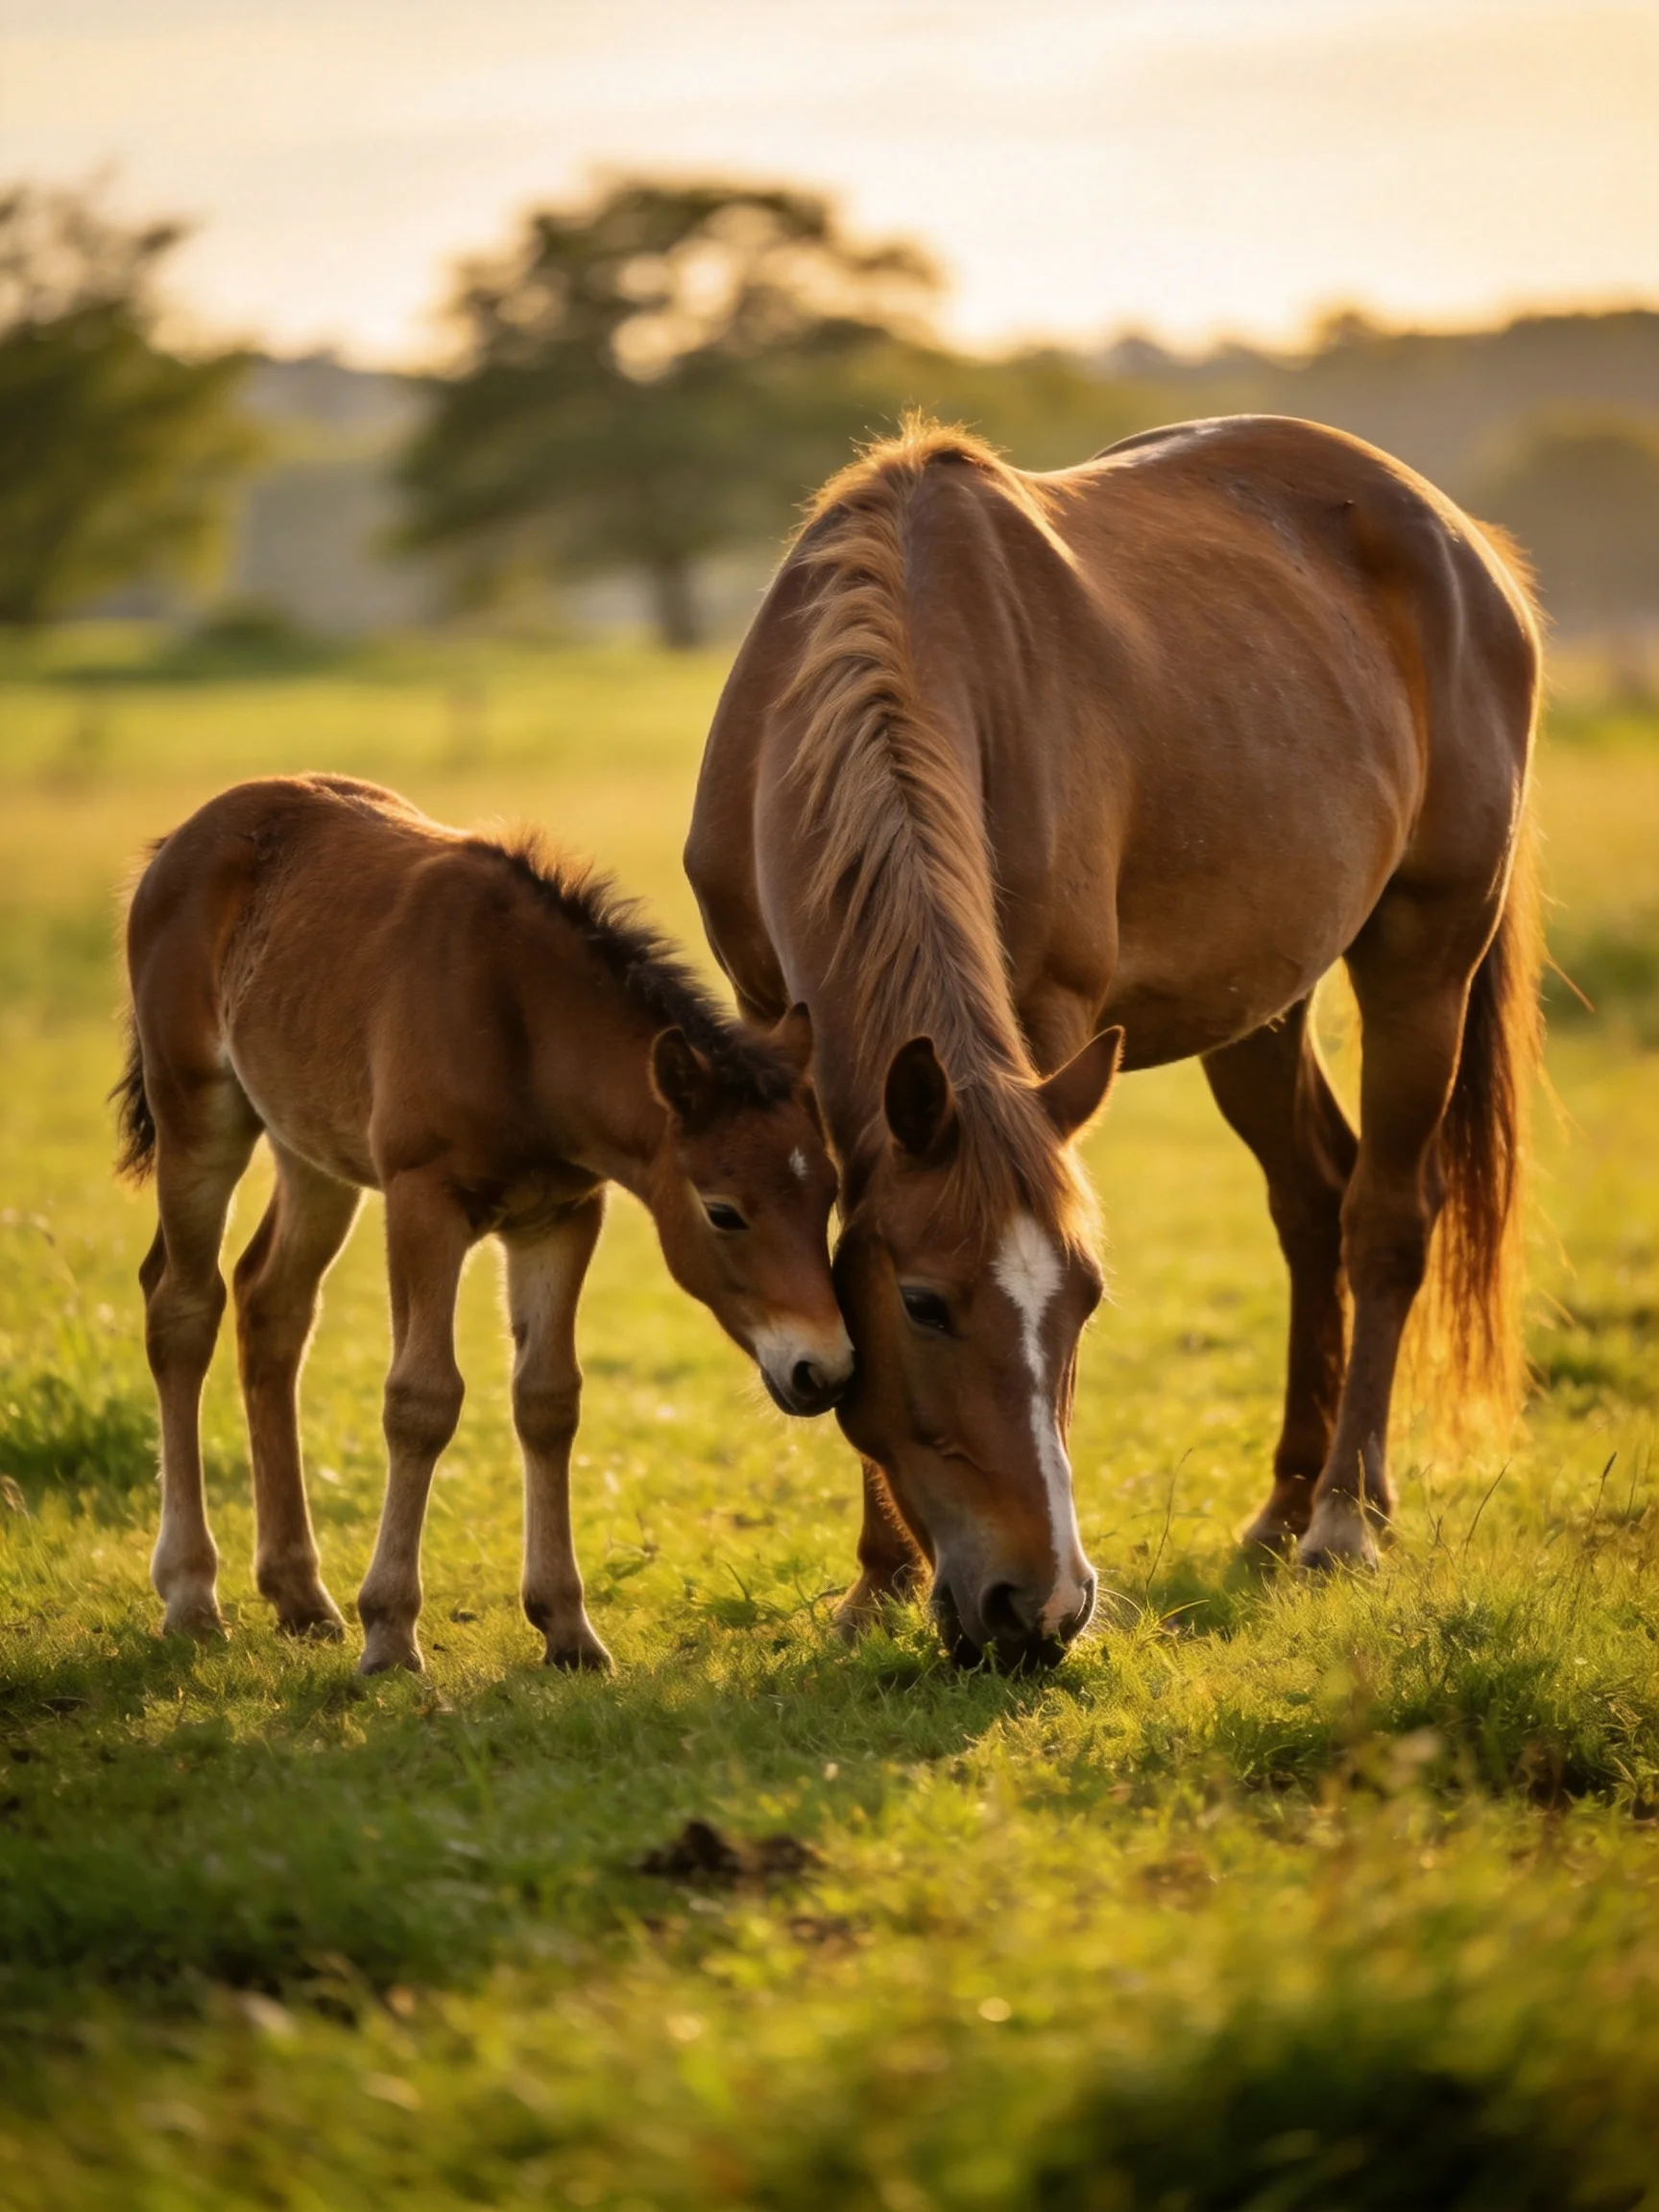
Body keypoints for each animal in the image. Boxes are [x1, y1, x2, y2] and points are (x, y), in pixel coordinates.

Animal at [115, 774, 850, 1675]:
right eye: (724, 1212)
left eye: (828, 1196)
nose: (826, 1369)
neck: (520, 1024)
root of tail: (183, 839)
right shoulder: (424, 1200)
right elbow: (421, 1400)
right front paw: (390, 1632)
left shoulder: (561, 1215)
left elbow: (548, 1400)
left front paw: (567, 1626)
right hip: (198, 1116)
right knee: (182, 1308)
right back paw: (191, 1593)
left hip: (312, 1149)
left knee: (270, 1305)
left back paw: (300, 1594)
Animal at [686, 414, 1542, 1669]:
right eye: (925, 1304)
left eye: (1086, 1299)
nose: (1035, 1609)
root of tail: (1462, 540)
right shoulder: (772, 1019)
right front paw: (879, 1580)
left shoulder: (1042, 1021)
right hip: (1261, 1004)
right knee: (1313, 1202)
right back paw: (1287, 1503)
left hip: (1426, 955)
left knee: (1386, 1216)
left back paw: (1343, 1517)